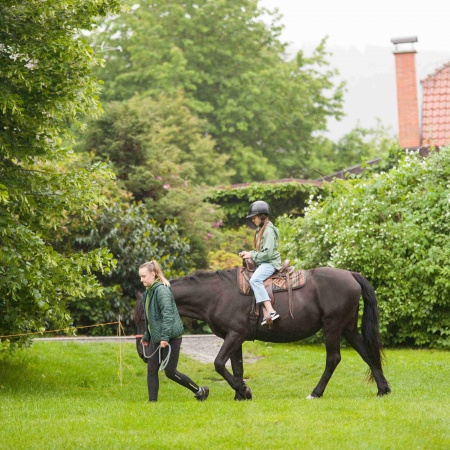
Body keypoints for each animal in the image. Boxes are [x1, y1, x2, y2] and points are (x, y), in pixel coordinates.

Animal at [134, 266, 390, 400]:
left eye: (142, 318)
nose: (142, 351)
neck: (217, 294)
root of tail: (351, 275)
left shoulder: (235, 335)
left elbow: (219, 364)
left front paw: (244, 391)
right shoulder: (234, 337)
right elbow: (237, 367)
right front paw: (240, 394)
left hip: (333, 327)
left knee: (333, 359)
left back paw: (316, 392)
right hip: (347, 328)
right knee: (367, 354)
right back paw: (383, 389)